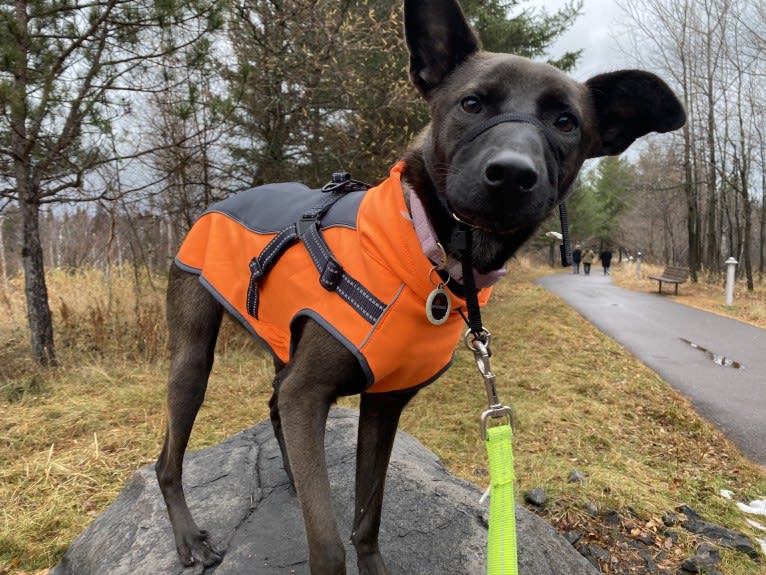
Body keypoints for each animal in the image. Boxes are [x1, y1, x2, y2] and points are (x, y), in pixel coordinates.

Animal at [153, 2, 688, 572]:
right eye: (471, 103)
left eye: (566, 122)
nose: (511, 175)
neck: (424, 253)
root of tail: (217, 204)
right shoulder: (310, 393)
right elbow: (327, 543)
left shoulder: (383, 405)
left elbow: (367, 516)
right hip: (193, 358)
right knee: (168, 459)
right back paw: (188, 539)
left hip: (280, 344)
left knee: (274, 405)